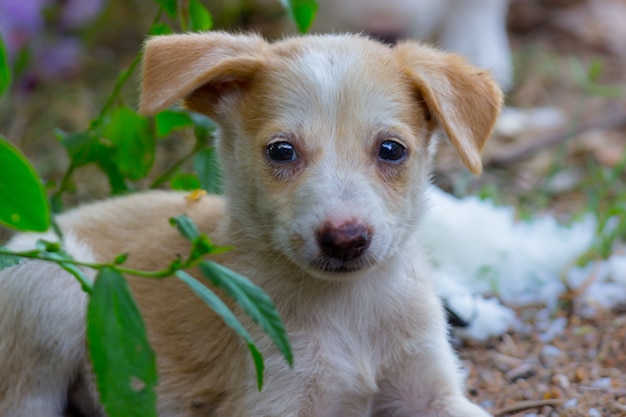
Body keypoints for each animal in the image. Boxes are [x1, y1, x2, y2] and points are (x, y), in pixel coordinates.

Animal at [0, 33, 500, 416]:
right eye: (282, 151)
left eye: (392, 150)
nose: (345, 240)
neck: (349, 310)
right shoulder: (273, 396)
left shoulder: (433, 390)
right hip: (51, 285)